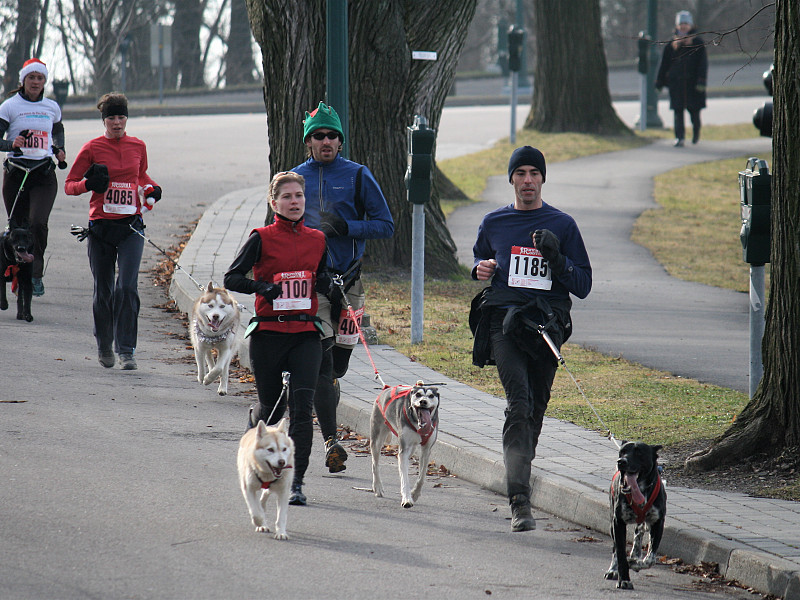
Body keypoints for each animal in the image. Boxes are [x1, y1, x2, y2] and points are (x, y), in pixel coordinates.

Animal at [604, 440, 664, 592]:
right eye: (622, 452)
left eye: (639, 452)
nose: (621, 461)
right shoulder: (618, 523)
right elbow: (620, 553)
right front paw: (624, 579)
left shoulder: (658, 523)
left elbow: (651, 559)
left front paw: (635, 562)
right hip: (612, 526)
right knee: (615, 549)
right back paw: (613, 569)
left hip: (642, 523)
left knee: (638, 535)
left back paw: (635, 555)